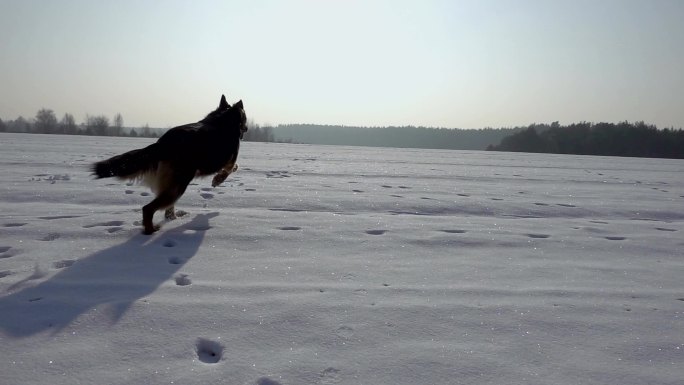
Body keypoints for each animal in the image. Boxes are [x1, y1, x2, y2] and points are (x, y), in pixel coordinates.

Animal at [92, 95, 247, 234]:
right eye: (245, 118)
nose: (246, 128)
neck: (224, 117)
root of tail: (163, 143)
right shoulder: (230, 160)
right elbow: (231, 168)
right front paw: (217, 180)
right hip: (178, 185)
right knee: (148, 208)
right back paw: (151, 230)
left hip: (172, 184)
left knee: (166, 210)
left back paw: (173, 219)